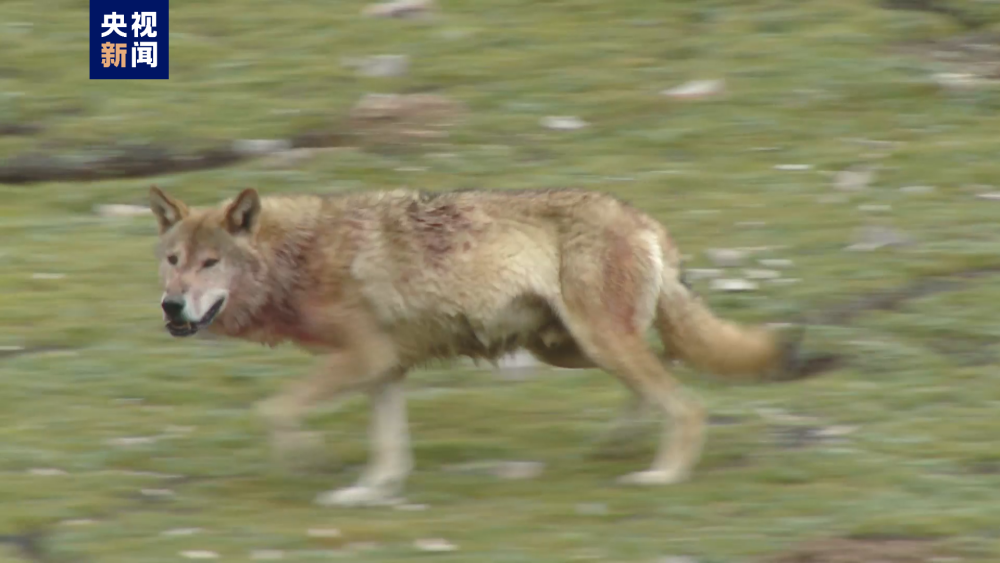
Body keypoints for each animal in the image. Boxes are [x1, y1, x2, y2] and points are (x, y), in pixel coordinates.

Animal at [148, 185, 816, 506]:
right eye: (173, 261)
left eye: (210, 263)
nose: (170, 307)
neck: (297, 257)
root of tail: (644, 220)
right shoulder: (385, 368)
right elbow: (390, 448)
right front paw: (369, 492)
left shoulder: (363, 359)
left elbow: (274, 409)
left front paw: (306, 460)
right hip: (569, 346)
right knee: (668, 372)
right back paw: (619, 442)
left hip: (596, 341)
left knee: (685, 400)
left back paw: (661, 475)